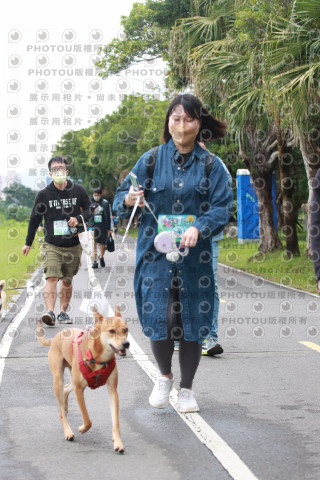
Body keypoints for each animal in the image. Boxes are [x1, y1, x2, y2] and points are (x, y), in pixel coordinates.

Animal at [37, 306, 131, 452]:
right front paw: (82, 428)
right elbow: (87, 420)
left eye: (126, 329)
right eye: (112, 331)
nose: (126, 344)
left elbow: (115, 421)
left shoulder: (112, 391)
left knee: (65, 390)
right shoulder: (79, 389)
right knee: (61, 408)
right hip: (58, 379)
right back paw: (68, 431)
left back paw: (65, 407)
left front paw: (118, 442)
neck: (98, 357)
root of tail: (55, 337)